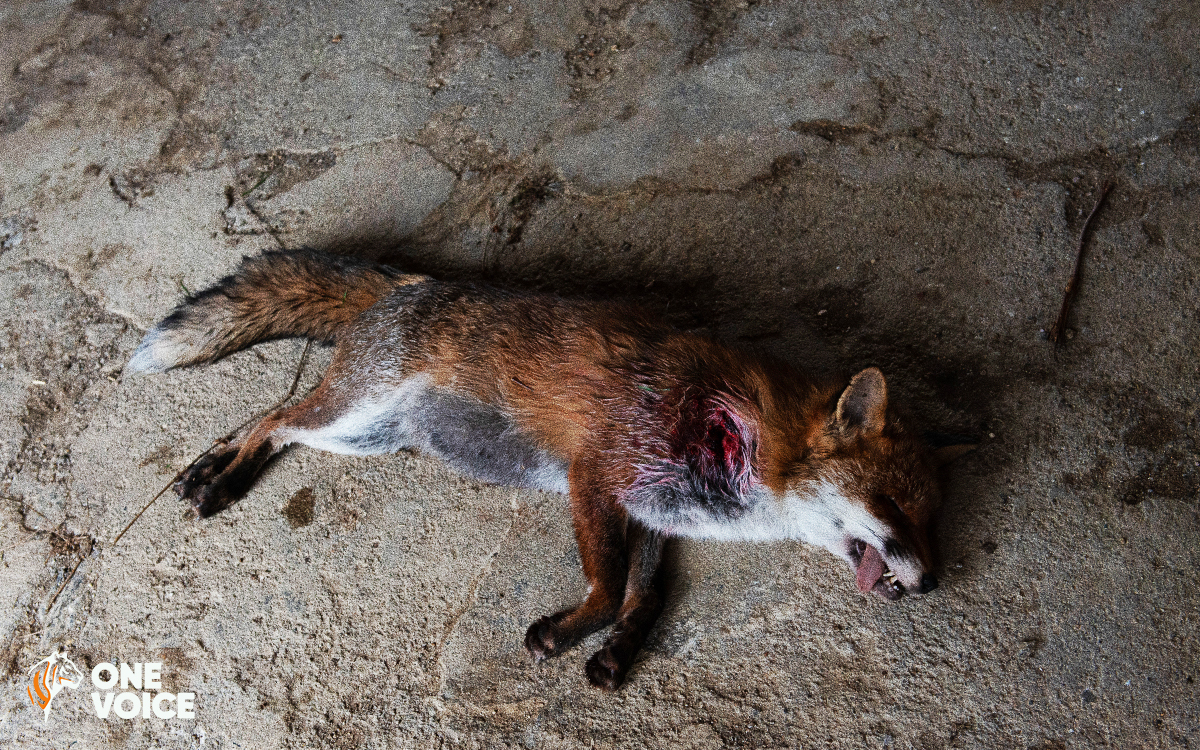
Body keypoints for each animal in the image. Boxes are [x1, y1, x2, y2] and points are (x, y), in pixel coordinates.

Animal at [126, 248, 969, 690]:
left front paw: (618, 652)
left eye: (932, 517)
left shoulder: (651, 510)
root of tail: (410, 283)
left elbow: (645, 596)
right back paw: (217, 476)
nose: (932, 582)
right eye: (894, 504)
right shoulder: (596, 475)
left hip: (373, 436)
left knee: (274, 418)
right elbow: (605, 587)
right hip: (354, 414)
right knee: (272, 417)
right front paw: (564, 634)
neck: (743, 439)